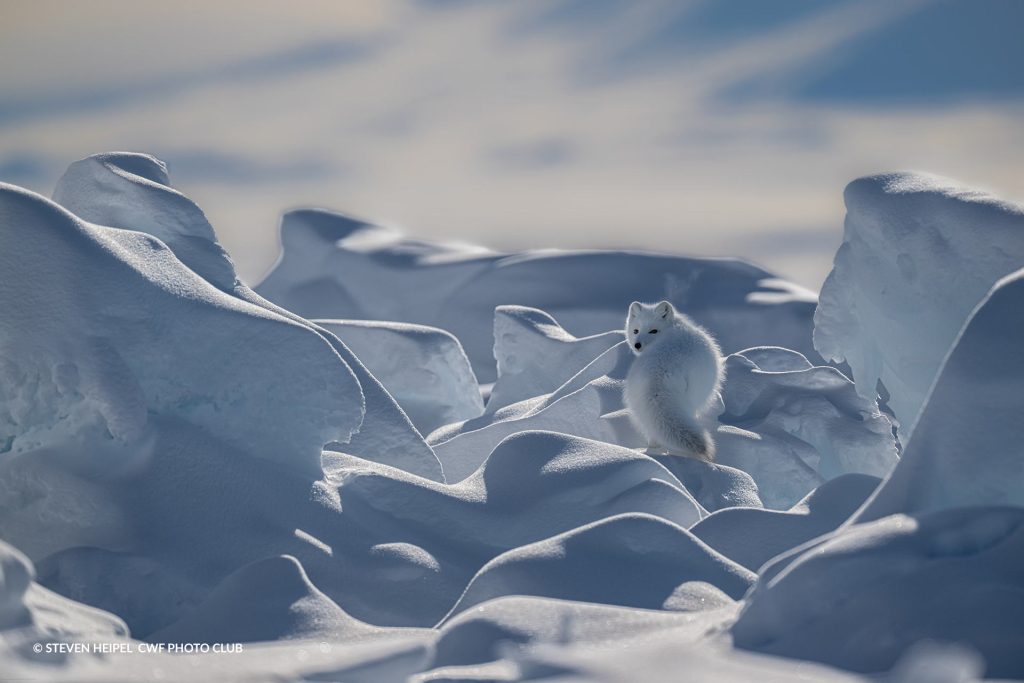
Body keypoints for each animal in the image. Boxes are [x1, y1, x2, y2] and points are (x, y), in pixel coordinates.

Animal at [623, 300, 724, 461]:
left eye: (653, 331)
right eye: (636, 331)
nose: (637, 345)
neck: (674, 326)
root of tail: (658, 375)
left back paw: (654, 451)